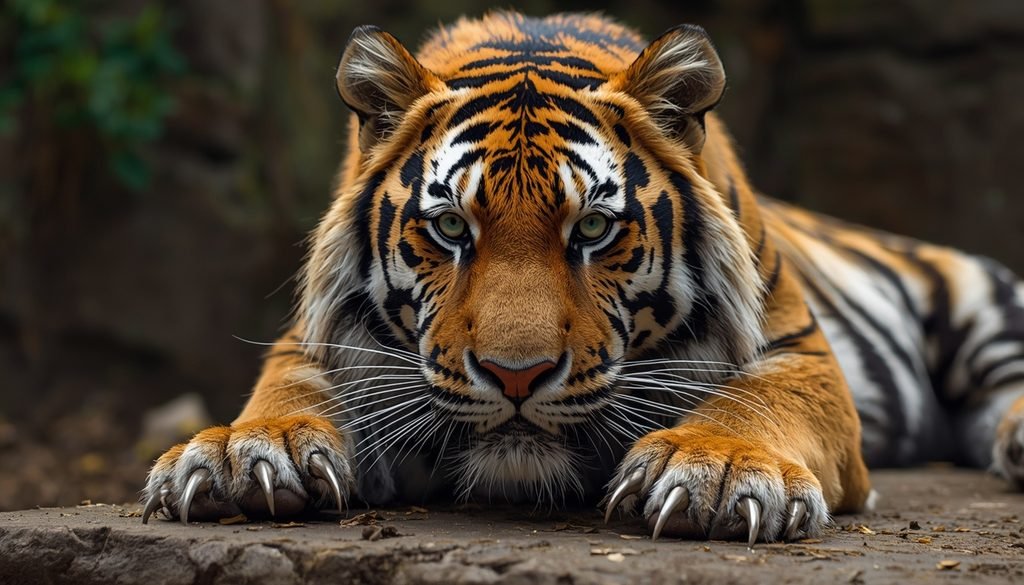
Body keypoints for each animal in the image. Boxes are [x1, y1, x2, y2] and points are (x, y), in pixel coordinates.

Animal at [142, 12, 1024, 544]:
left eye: (594, 230)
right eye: (451, 228)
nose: (516, 375)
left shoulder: (802, 351)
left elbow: (753, 400)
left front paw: (716, 468)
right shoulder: (312, 339)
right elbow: (288, 389)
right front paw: (242, 452)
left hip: (976, 300)